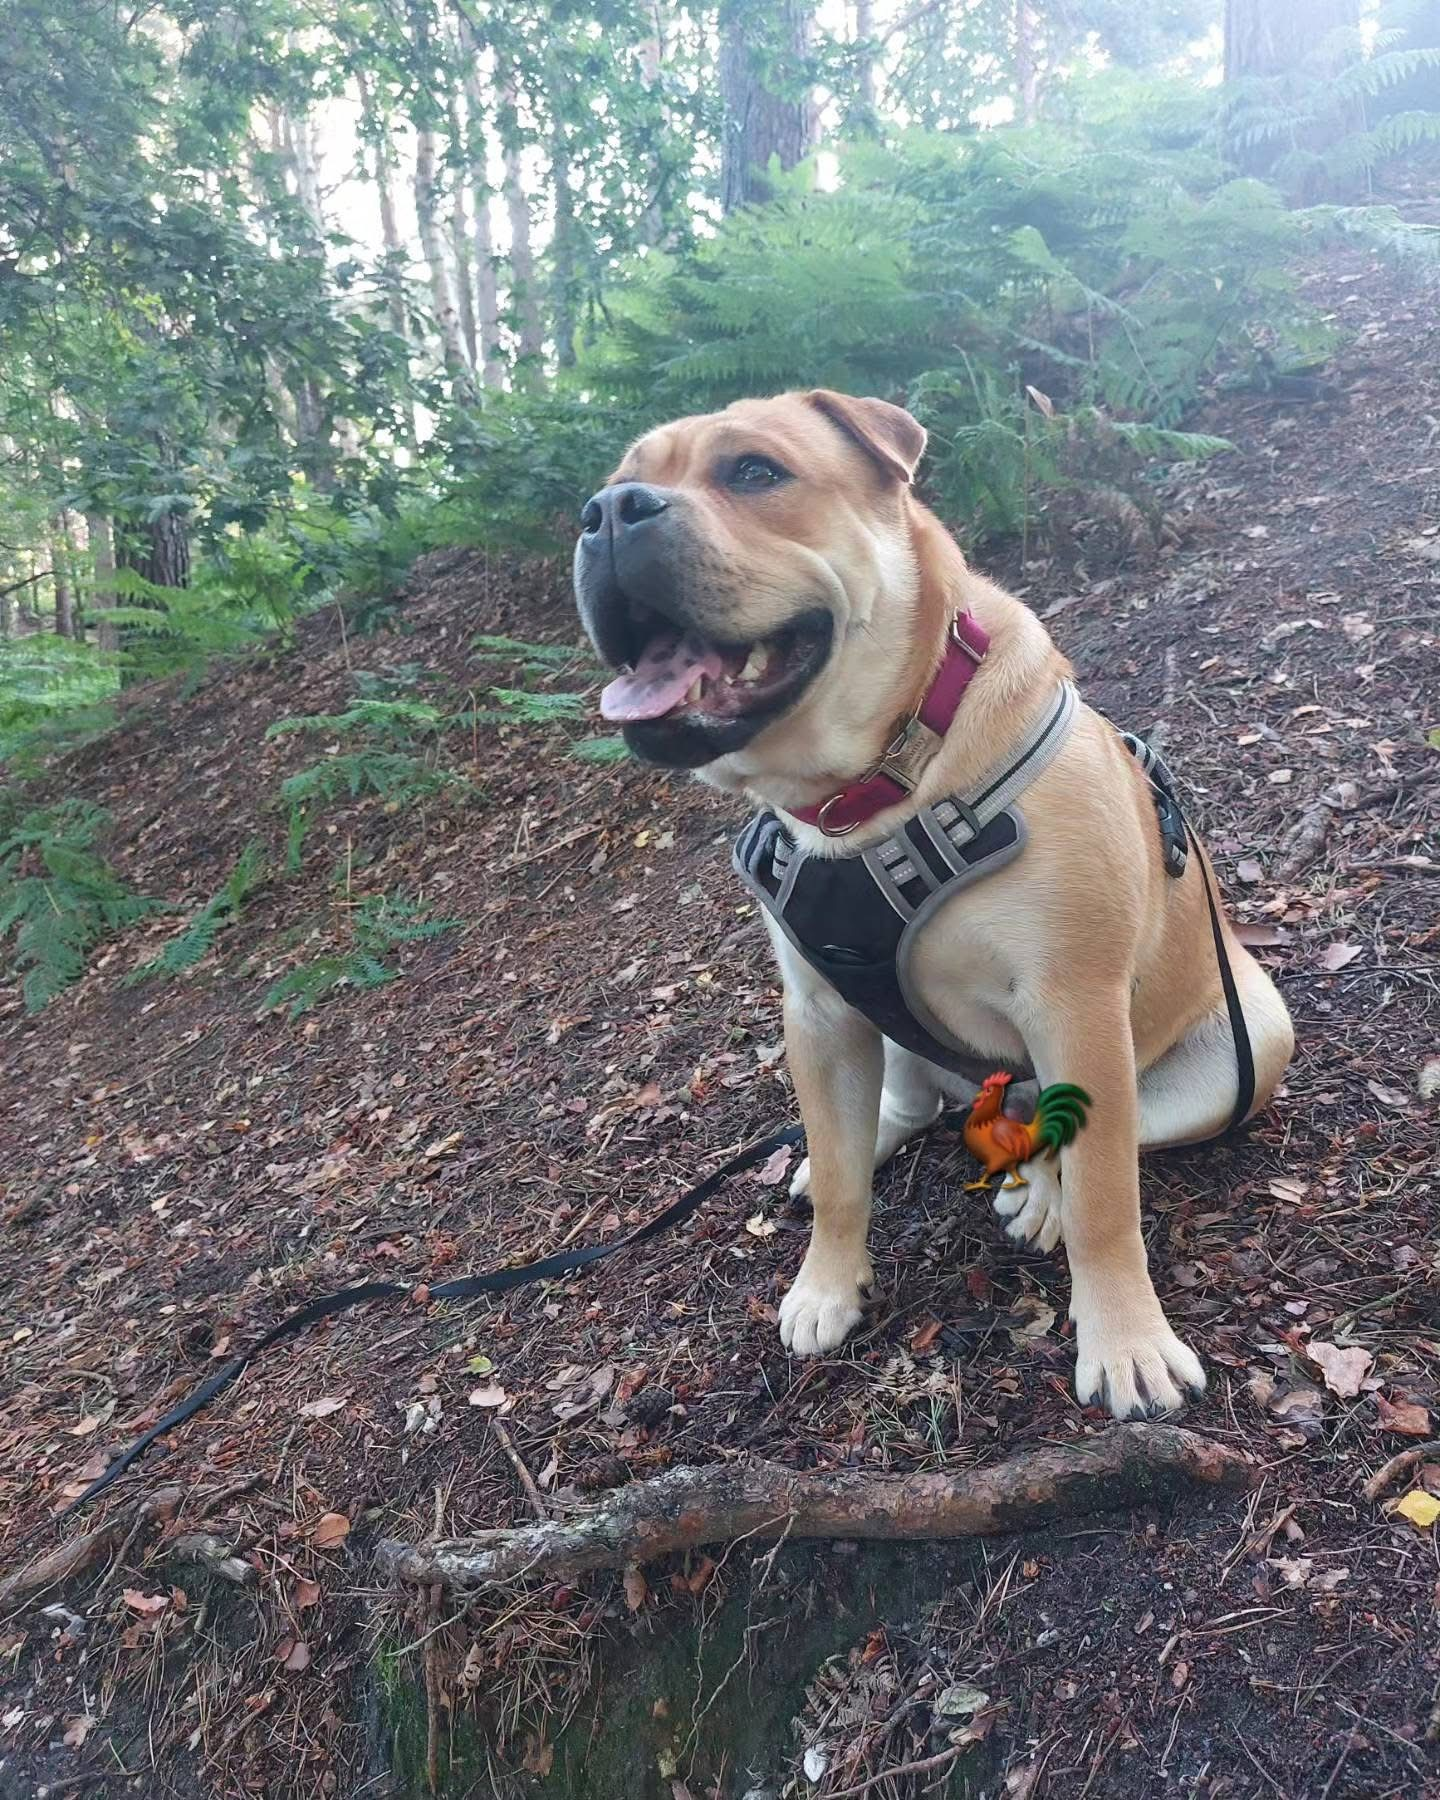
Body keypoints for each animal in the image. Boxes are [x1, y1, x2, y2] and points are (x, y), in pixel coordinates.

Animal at [573, 389, 1294, 1418]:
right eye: (611, 487)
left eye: (754, 472)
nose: (607, 513)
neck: (873, 787)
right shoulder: (821, 1012)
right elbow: (842, 1182)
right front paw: (827, 1285)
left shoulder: (1075, 1004)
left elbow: (1106, 1197)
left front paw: (1126, 1343)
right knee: (910, 1105)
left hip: (1248, 1040)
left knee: (1101, 1138)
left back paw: (1041, 1197)